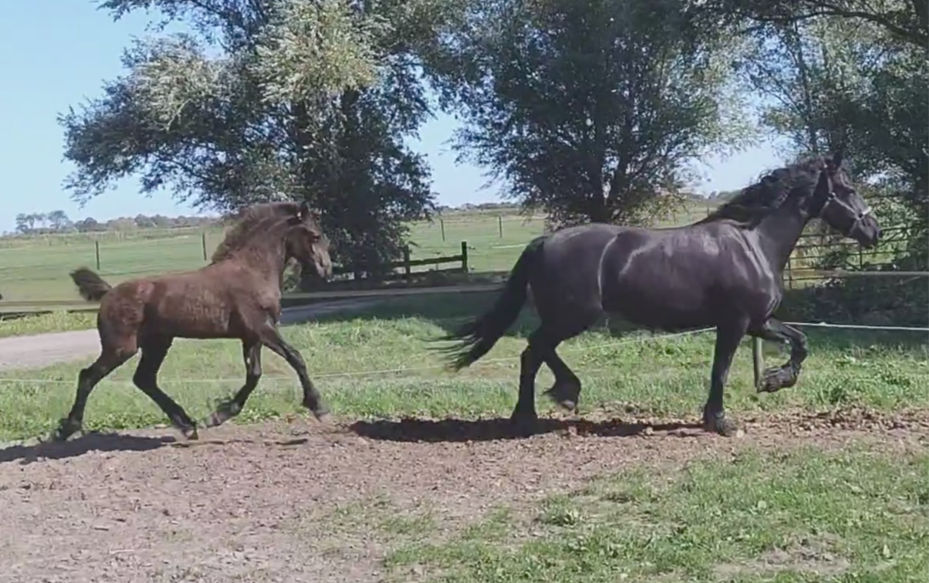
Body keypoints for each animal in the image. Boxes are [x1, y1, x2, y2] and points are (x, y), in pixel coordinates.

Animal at [51, 201, 333, 442]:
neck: (252, 270)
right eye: (314, 236)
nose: (327, 269)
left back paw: (188, 425)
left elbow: (254, 374)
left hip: (157, 343)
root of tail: (108, 293)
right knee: (88, 376)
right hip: (121, 347)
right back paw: (67, 429)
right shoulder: (261, 328)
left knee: (144, 379)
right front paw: (319, 407)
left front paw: (217, 416)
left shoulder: (251, 336)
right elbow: (295, 357)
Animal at [442, 152, 882, 436]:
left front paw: (773, 381)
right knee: (533, 352)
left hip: (567, 318)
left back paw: (546, 404)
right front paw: (720, 420)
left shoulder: (757, 322)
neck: (755, 243)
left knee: (535, 353)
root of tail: (543, 242)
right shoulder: (735, 323)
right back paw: (543, 407)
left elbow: (800, 342)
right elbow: (721, 369)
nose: (873, 231)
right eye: (847, 188)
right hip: (572, 317)